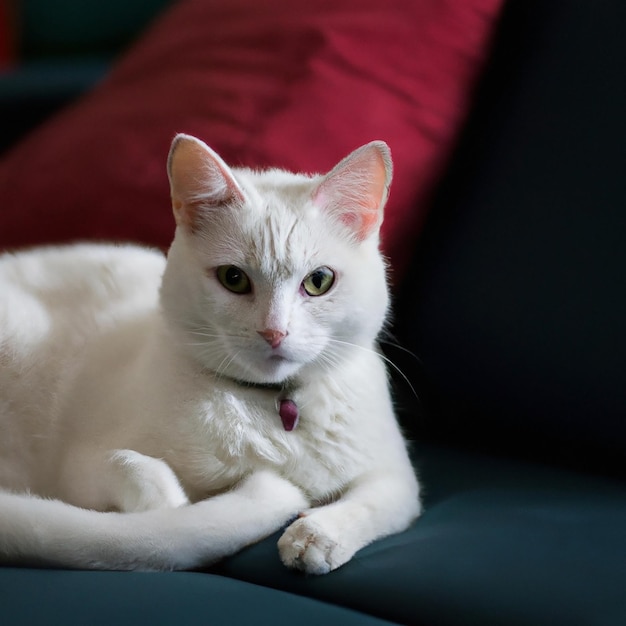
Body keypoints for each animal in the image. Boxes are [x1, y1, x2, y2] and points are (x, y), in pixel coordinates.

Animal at [0, 134, 422, 572]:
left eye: (319, 281)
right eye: (232, 278)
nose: (274, 331)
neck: (270, 407)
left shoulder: (397, 476)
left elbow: (374, 502)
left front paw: (315, 537)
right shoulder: (75, 467)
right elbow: (135, 471)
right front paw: (171, 501)